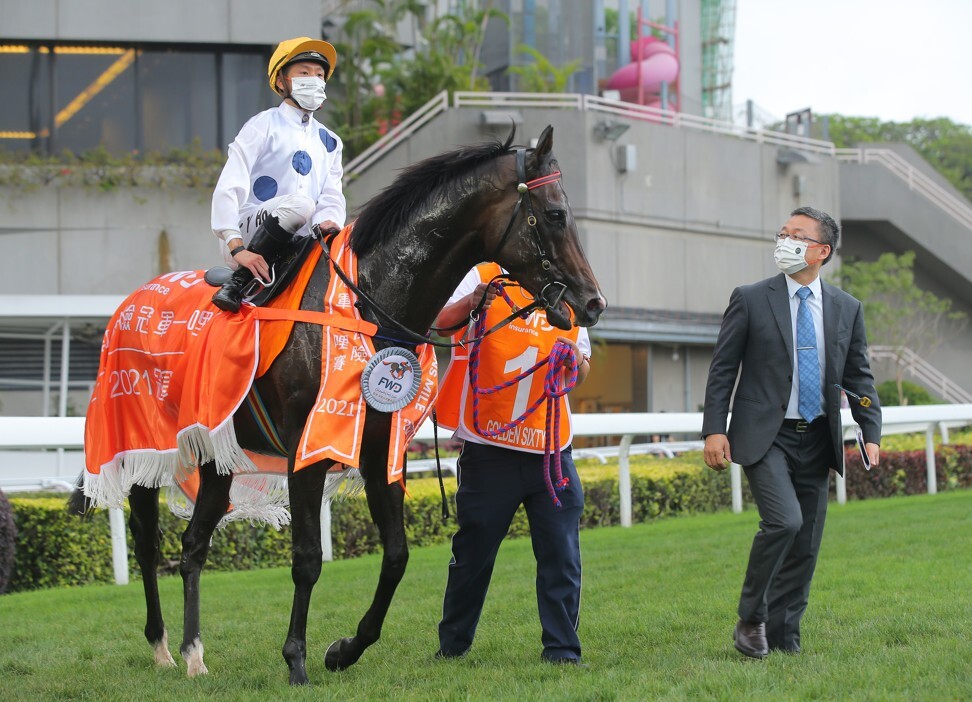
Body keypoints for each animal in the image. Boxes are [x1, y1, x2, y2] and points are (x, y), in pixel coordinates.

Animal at [72, 125, 604, 688]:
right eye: (556, 214)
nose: (594, 303)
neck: (371, 302)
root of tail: (130, 303)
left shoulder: (381, 451)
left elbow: (397, 555)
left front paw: (344, 649)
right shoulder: (308, 448)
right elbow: (308, 558)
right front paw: (296, 659)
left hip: (216, 451)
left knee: (193, 543)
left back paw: (194, 652)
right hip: (141, 447)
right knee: (147, 543)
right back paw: (162, 646)